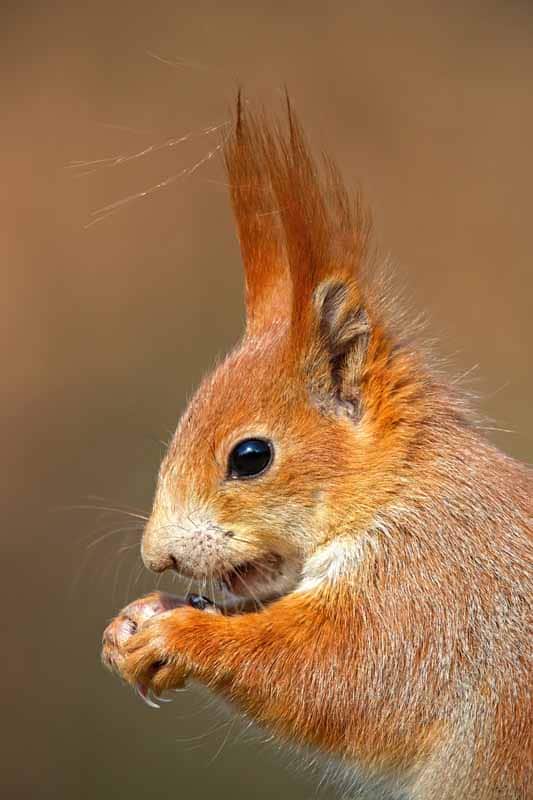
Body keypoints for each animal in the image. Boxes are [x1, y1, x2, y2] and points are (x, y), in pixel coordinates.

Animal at [102, 100, 528, 800]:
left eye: (250, 457)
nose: (157, 558)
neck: (400, 487)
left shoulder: (431, 595)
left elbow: (338, 679)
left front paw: (181, 633)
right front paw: (135, 621)